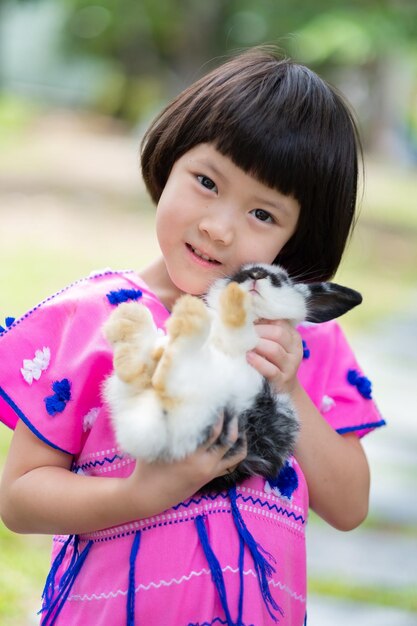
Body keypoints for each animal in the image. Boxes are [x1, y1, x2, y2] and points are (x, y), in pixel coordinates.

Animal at [102, 260, 360, 490]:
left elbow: (237, 333)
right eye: (237, 273)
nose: (255, 274)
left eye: (281, 280)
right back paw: (130, 320)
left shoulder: (246, 347)